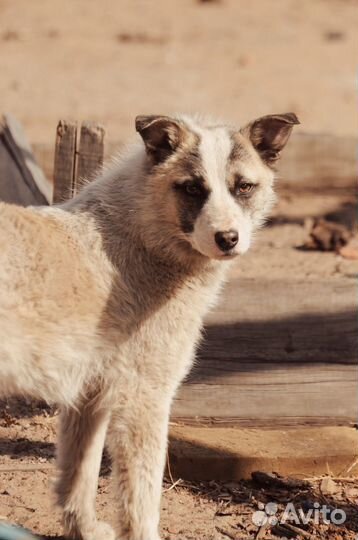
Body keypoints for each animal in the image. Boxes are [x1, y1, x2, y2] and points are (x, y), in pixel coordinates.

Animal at [0, 112, 298, 536]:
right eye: (191, 188)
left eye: (243, 187)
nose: (228, 239)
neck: (142, 235)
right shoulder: (144, 397)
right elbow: (142, 496)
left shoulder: (90, 398)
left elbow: (80, 473)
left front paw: (84, 529)